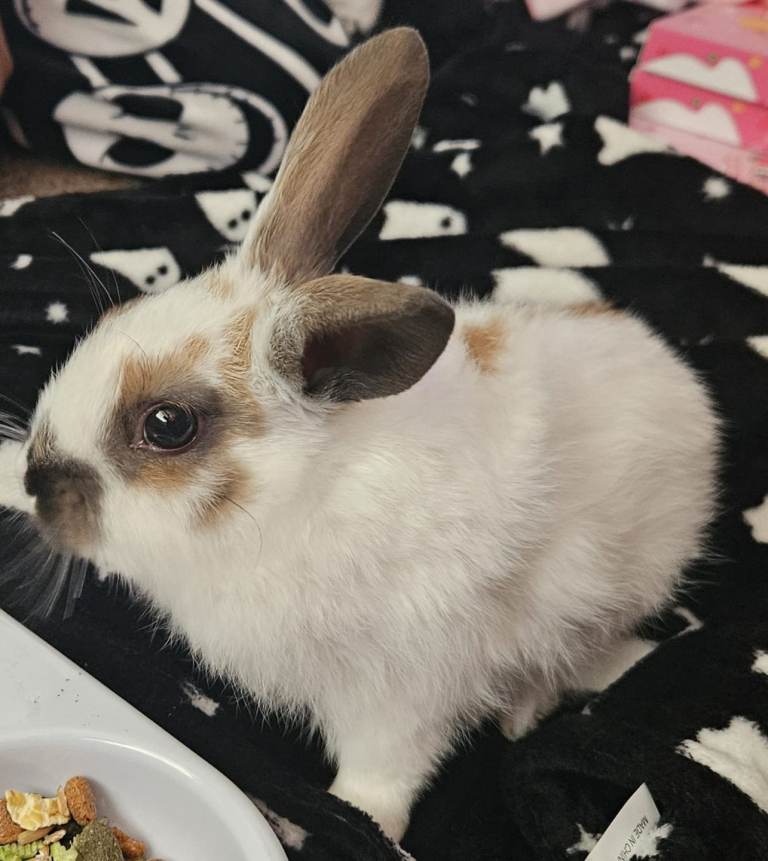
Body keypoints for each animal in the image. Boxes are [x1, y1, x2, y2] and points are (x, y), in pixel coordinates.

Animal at [0, 28, 718, 843]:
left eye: (167, 424)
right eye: (117, 316)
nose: (39, 482)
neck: (292, 497)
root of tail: (681, 384)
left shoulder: (401, 687)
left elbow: (388, 765)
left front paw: (351, 819)